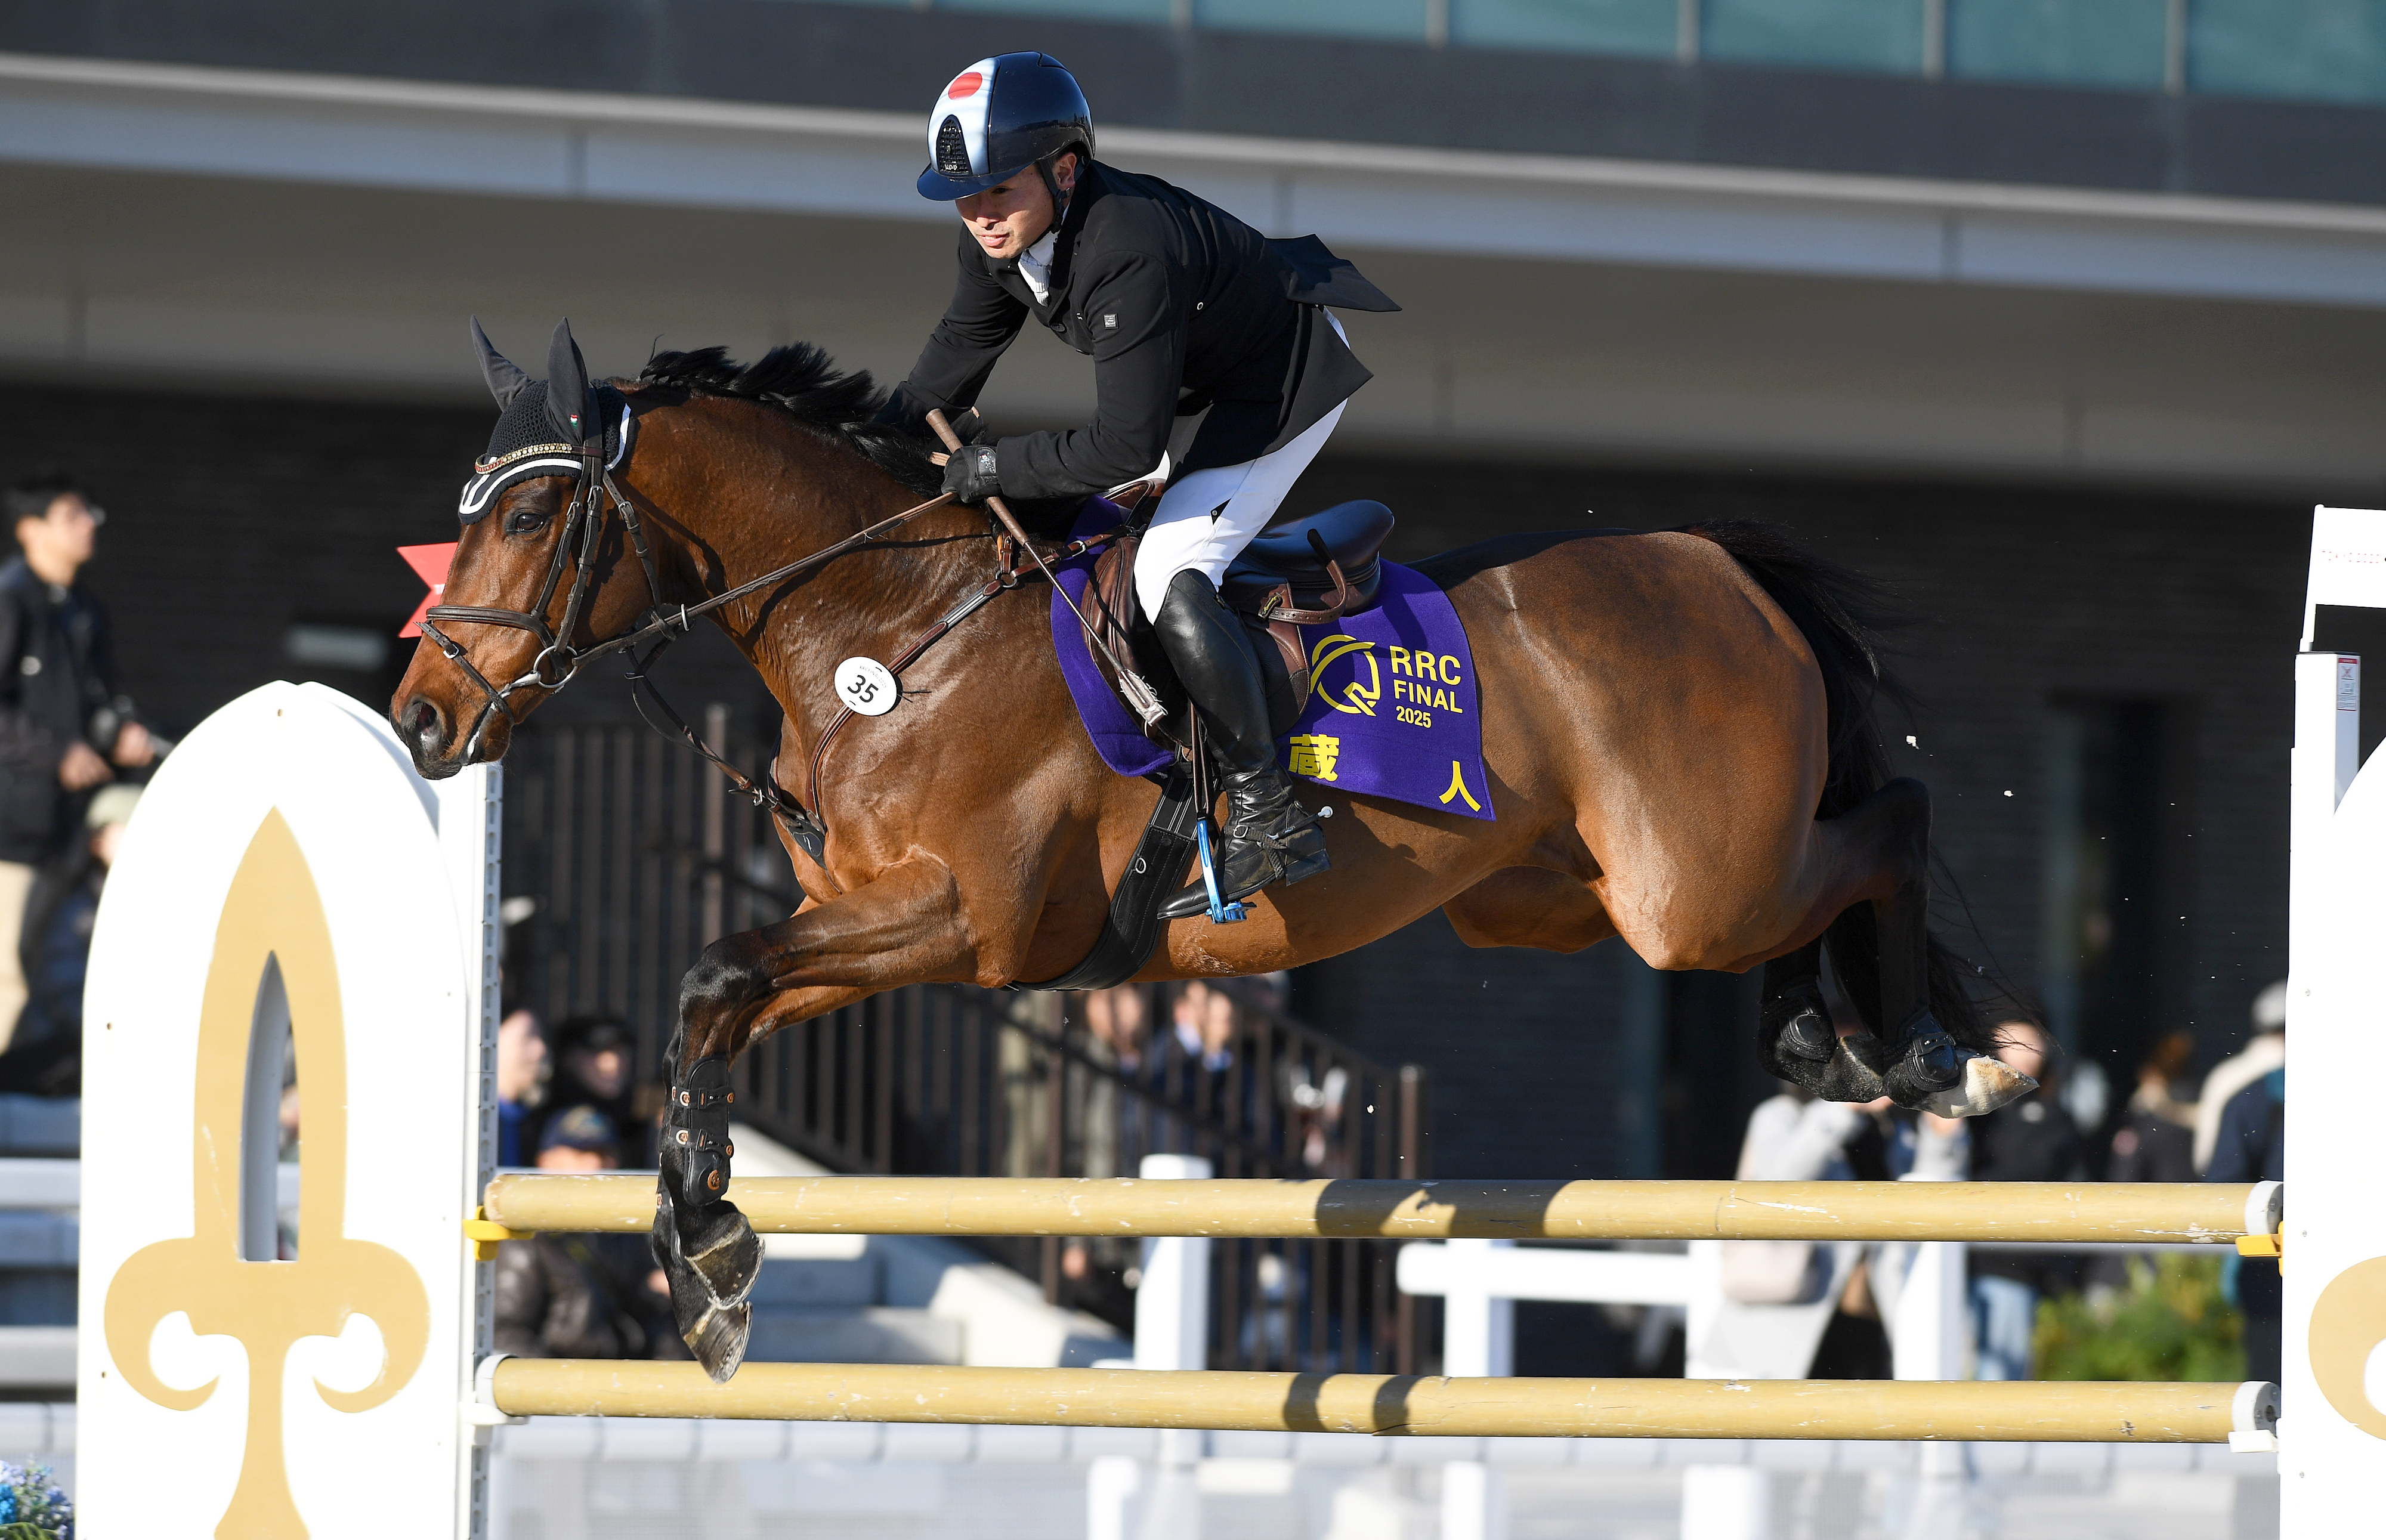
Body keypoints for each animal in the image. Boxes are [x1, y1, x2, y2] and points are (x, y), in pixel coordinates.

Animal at [392, 320, 2031, 1380]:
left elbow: (714, 969)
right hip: (1554, 901)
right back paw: (1829, 1037)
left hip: (1688, 887)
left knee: (1887, 823)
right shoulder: (871, 926)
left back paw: (1932, 1056)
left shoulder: (975, 924)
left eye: (531, 514)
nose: (419, 717)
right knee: (1817, 883)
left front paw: (710, 1255)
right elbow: (716, 992)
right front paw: (705, 1235)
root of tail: (1710, 562)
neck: (889, 630)